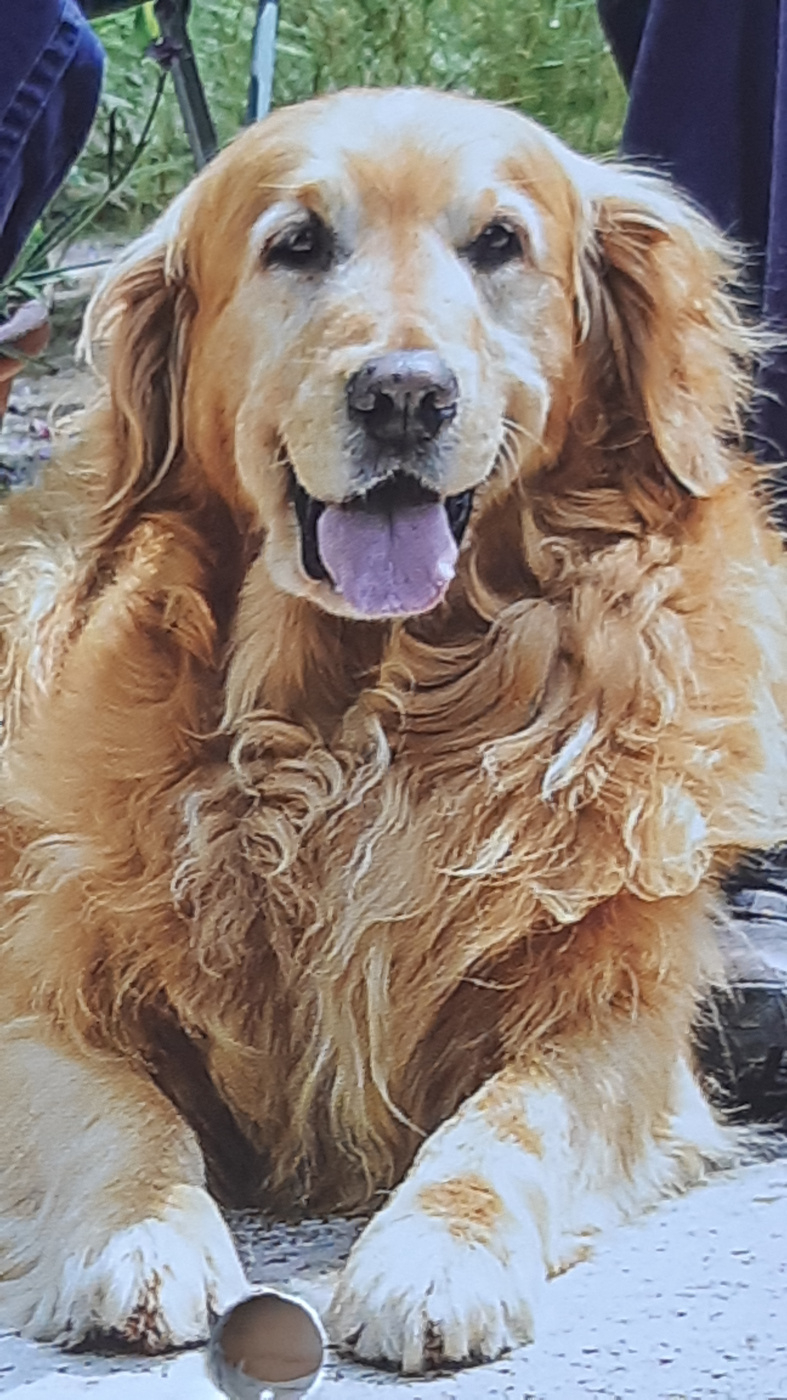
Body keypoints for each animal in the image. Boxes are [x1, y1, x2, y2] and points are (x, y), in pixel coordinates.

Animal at [0, 86, 786, 1372]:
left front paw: (437, 1253)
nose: (404, 394)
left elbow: (505, 1123)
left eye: (499, 243)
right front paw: (139, 1229)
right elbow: (122, 1112)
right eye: (297, 243)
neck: (356, 720)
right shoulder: (45, 994)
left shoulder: (612, 1015)